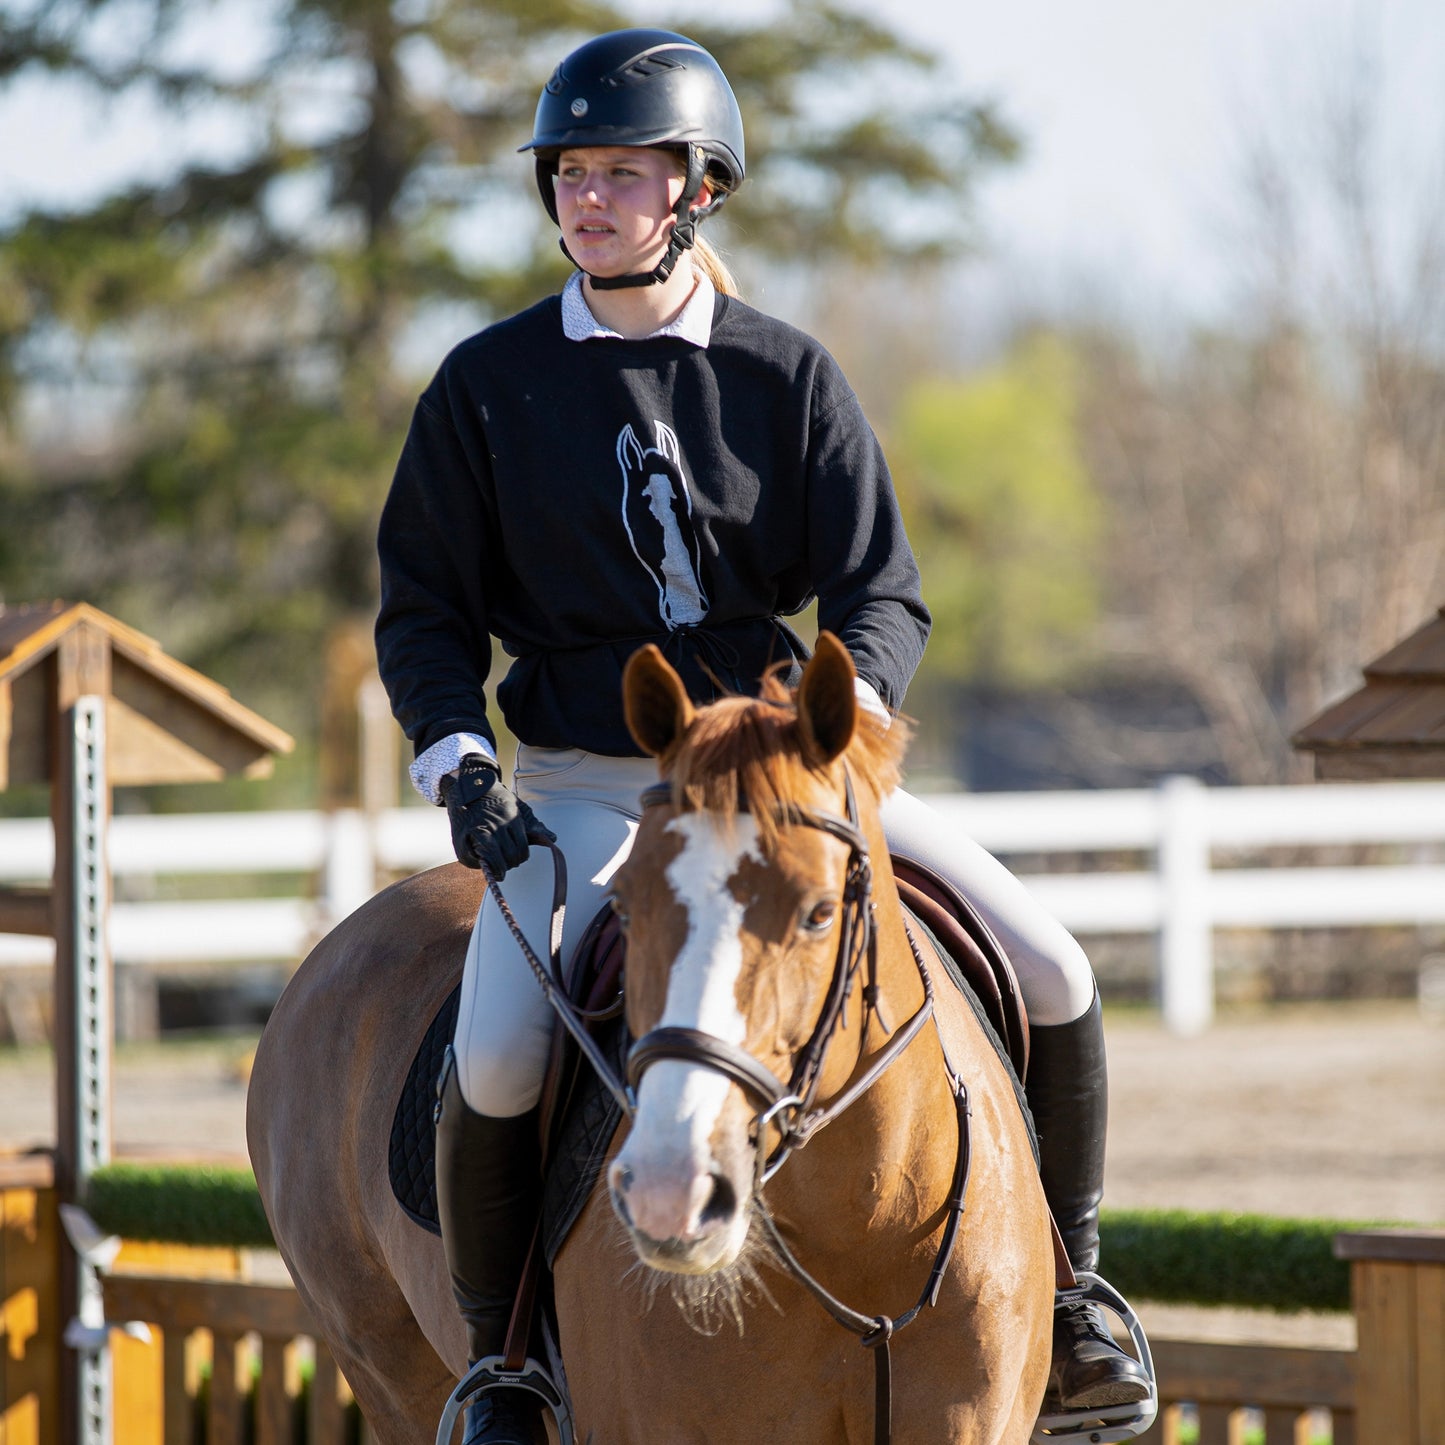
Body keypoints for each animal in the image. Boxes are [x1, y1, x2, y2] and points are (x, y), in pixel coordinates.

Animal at [248, 638, 1057, 1445]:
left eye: (820, 912)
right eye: (629, 908)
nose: (673, 1193)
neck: (866, 1216)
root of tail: (331, 945)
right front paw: (482, 810)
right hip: (385, 1371)